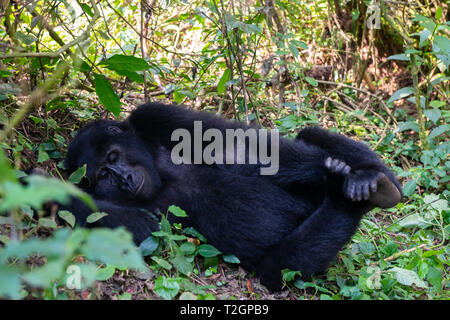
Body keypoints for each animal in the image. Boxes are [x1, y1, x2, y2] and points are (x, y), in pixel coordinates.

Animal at [61, 102, 402, 290]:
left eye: (113, 157)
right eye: (103, 176)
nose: (124, 179)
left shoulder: (154, 115)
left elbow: (237, 145)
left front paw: (343, 173)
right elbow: (125, 225)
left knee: (308, 134)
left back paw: (373, 177)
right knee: (277, 267)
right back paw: (345, 198)